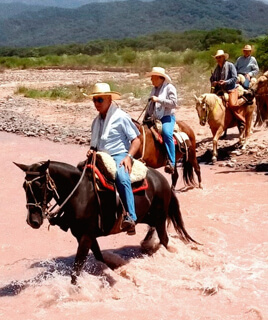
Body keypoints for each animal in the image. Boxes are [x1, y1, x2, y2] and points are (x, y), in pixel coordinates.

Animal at [15, 159, 197, 284]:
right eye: (24, 186)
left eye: (39, 185)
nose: (33, 221)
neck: (79, 194)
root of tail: (163, 180)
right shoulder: (85, 236)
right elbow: (99, 258)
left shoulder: (86, 236)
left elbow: (76, 269)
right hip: (150, 217)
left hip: (160, 219)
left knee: (165, 240)